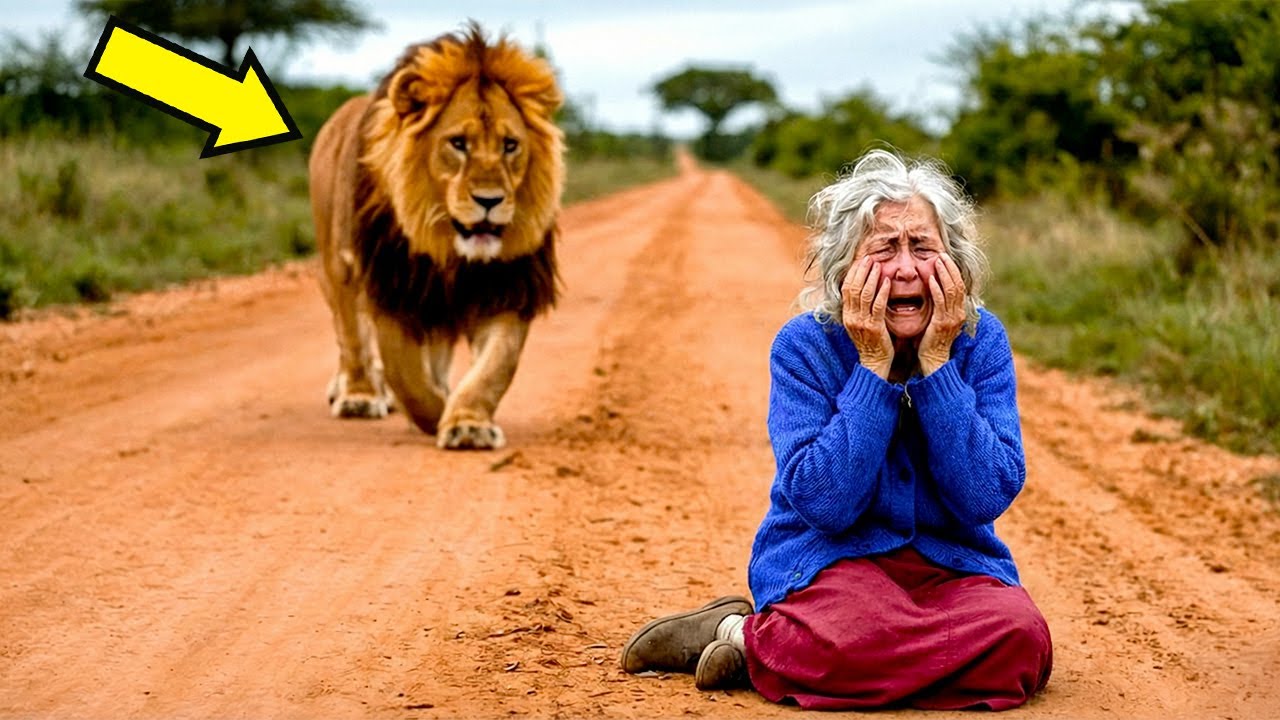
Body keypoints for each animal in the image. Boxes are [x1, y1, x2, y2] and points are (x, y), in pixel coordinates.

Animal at [308, 23, 564, 450]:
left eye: (510, 145)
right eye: (458, 143)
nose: (490, 200)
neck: (449, 250)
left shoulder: (507, 288)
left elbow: (495, 367)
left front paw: (468, 424)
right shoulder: (393, 288)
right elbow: (407, 377)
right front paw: (431, 413)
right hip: (338, 267)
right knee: (352, 339)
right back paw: (359, 395)